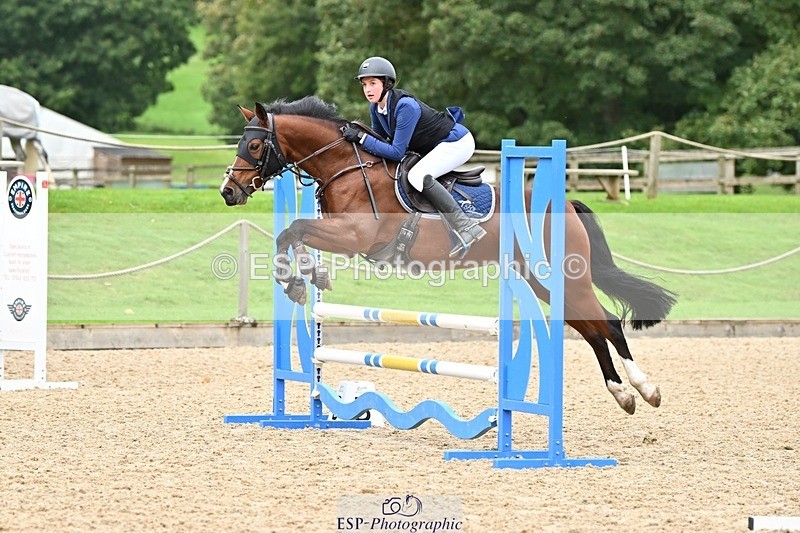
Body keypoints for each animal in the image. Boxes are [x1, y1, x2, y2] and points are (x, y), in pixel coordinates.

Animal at [219, 96, 677, 415]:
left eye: (255, 145)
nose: (228, 191)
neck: (344, 164)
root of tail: (565, 203)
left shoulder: (356, 236)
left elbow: (293, 230)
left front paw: (298, 281)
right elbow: (292, 235)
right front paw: (306, 279)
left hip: (562, 278)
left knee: (608, 324)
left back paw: (645, 390)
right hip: (542, 282)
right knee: (593, 329)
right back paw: (624, 394)